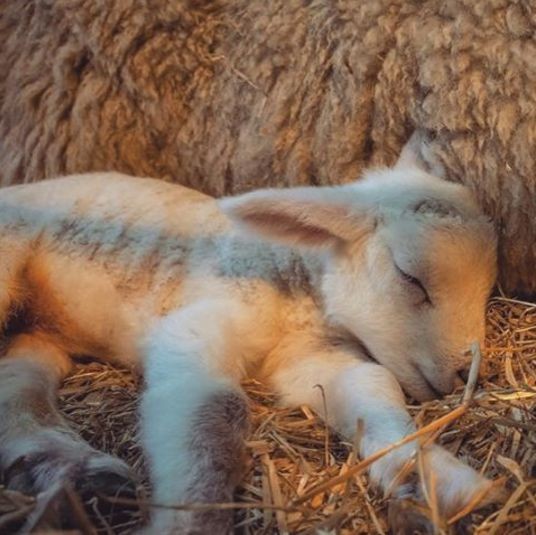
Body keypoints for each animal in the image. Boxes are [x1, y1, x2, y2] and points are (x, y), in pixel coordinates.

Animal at [0, 144, 500, 532]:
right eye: (410, 277)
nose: (464, 372)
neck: (291, 277)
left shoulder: (309, 357)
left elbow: (374, 387)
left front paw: (435, 478)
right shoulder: (201, 324)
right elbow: (217, 409)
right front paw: (191, 520)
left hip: (36, 333)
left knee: (17, 392)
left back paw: (80, 478)